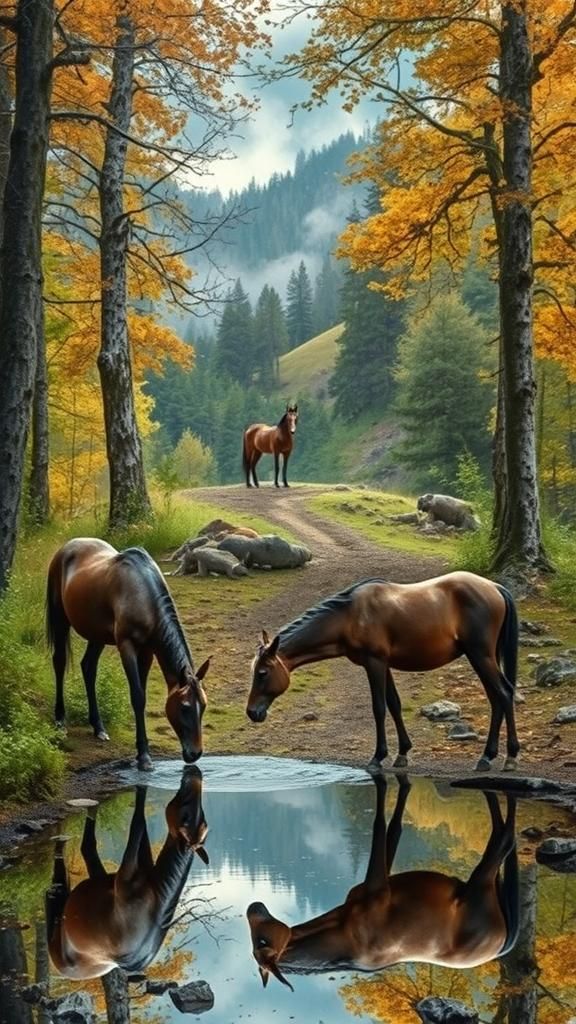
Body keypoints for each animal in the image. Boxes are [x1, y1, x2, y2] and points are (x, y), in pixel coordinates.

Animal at [46, 538, 210, 771]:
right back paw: (60, 720)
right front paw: (144, 756)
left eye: (203, 706)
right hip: (61, 620)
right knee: (59, 662)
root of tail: (67, 547)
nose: (195, 753)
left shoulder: (147, 651)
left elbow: (142, 694)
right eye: (185, 707)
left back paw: (98, 727)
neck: (144, 596)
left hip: (97, 634)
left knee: (88, 668)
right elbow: (137, 696)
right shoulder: (127, 647)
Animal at [46, 768, 208, 979]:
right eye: (192, 818)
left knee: (73, 864)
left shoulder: (125, 875)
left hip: (64, 926)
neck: (156, 895)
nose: (195, 773)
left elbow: (137, 822)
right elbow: (141, 823)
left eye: (185, 817)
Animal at [246, 571, 519, 772]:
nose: (252, 712)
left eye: (262, 673)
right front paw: (402, 753)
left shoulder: (374, 663)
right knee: (496, 699)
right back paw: (488, 756)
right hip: (483, 658)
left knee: (505, 694)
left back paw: (509, 757)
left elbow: (378, 707)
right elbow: (394, 704)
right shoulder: (384, 665)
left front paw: (378, 757)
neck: (351, 615)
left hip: (480, 656)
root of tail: (494, 587)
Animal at [247, 777, 518, 990]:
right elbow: (388, 826)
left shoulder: (378, 884)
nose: (253, 906)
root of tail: (502, 946)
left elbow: (386, 825)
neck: (344, 934)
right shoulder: (378, 886)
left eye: (262, 941)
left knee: (503, 836)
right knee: (504, 838)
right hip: (483, 883)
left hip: (481, 882)